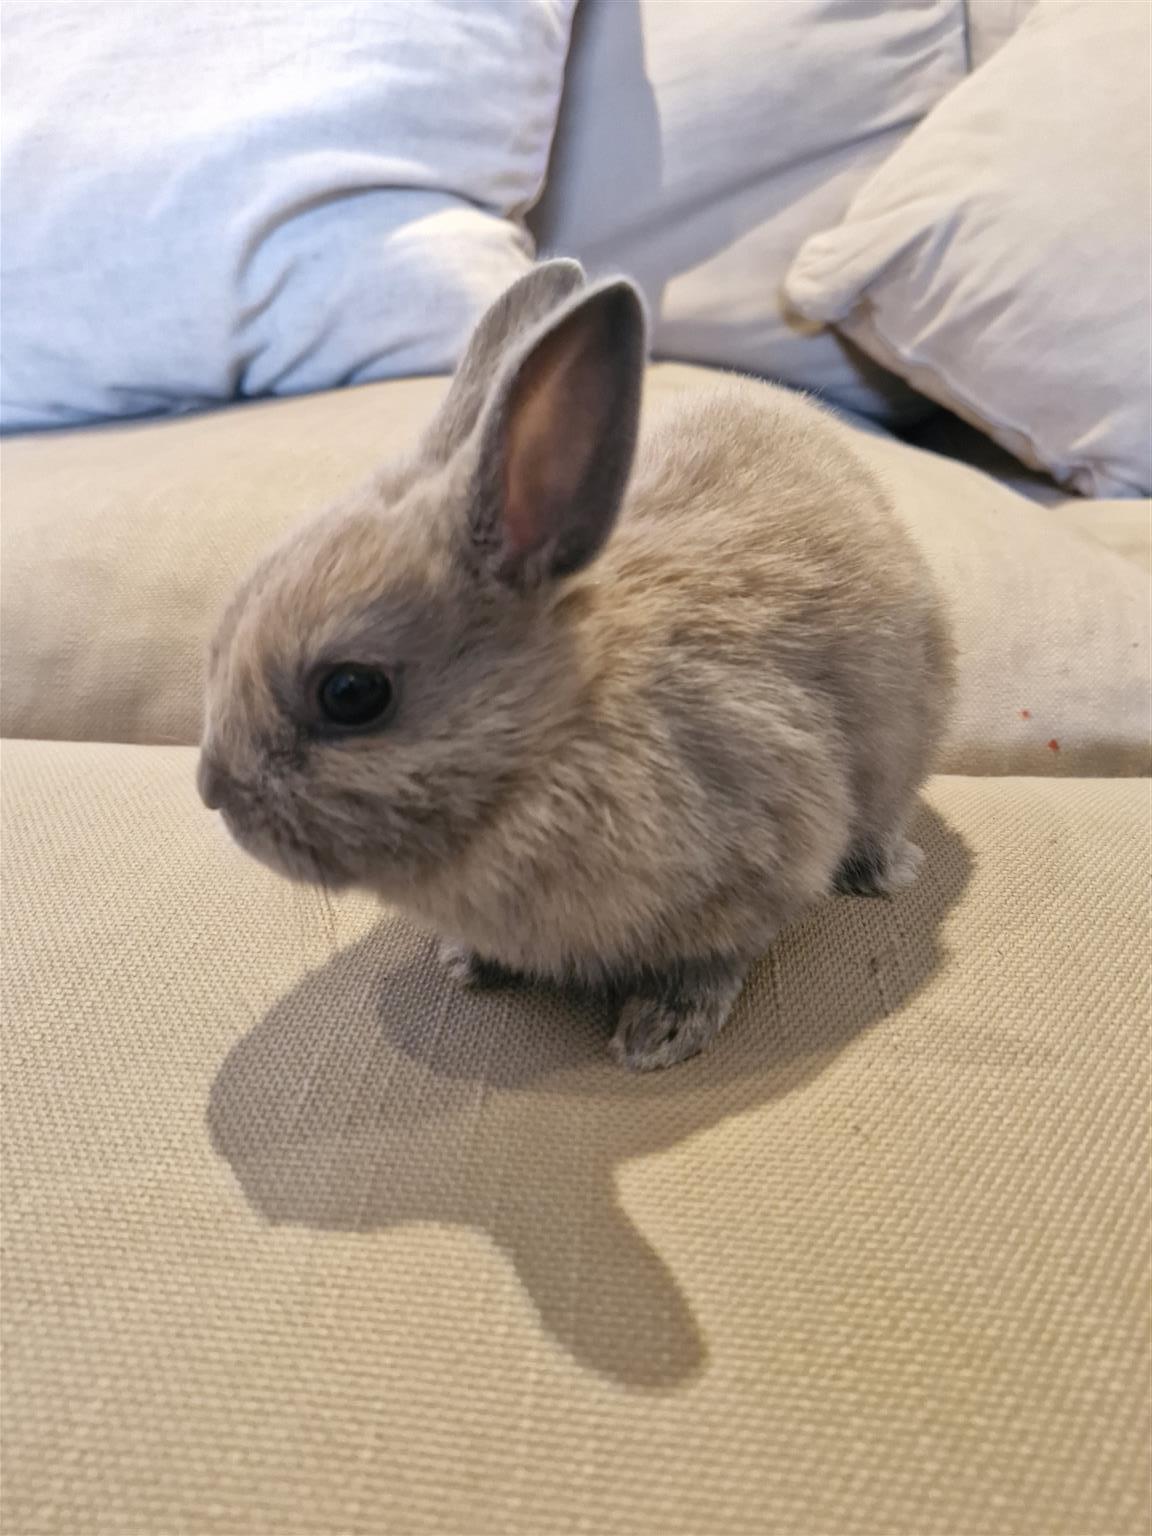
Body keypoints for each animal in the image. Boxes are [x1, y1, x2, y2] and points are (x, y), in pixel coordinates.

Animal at [199, 258, 954, 1071]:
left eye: (351, 692)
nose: (213, 791)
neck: (553, 738)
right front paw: (468, 962)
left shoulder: (768, 851)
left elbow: (713, 961)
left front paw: (659, 1036)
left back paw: (881, 874)